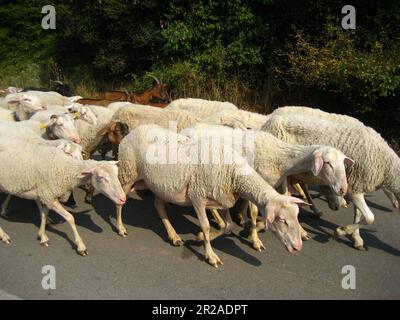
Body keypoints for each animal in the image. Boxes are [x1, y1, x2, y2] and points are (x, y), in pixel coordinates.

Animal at [185, 124, 354, 251]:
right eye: (328, 163)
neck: (281, 157)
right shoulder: (256, 182)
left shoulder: (277, 182)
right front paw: (255, 239)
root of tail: (188, 128)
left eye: (343, 163)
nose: (343, 190)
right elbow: (254, 212)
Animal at [262, 109, 400, 251]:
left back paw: (315, 210)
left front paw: (356, 238)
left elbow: (359, 214)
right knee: (286, 197)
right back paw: (302, 231)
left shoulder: (357, 185)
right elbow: (369, 218)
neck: (386, 166)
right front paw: (340, 231)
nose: (397, 206)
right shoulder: (355, 187)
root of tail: (269, 120)